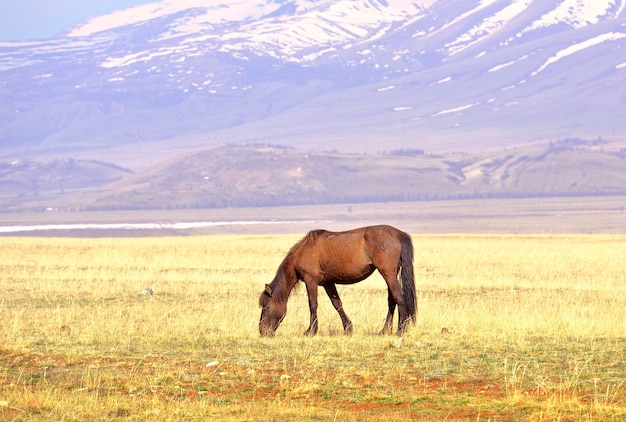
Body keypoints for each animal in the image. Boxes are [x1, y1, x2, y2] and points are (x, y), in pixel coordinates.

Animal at [258, 226, 414, 338]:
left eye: (266, 306)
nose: (262, 331)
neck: (303, 252)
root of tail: (398, 234)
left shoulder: (311, 281)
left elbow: (312, 305)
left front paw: (311, 331)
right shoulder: (328, 283)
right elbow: (337, 304)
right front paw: (348, 328)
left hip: (388, 274)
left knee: (399, 297)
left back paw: (401, 329)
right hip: (391, 274)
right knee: (391, 300)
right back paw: (384, 330)